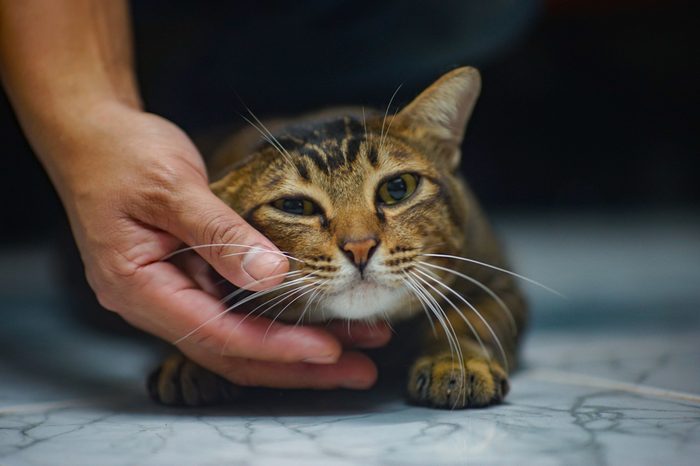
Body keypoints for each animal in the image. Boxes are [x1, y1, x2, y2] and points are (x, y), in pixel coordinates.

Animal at [150, 67, 528, 410]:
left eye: (397, 188)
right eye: (295, 206)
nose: (360, 247)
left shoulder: (499, 285)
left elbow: (469, 321)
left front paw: (457, 363)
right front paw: (190, 362)